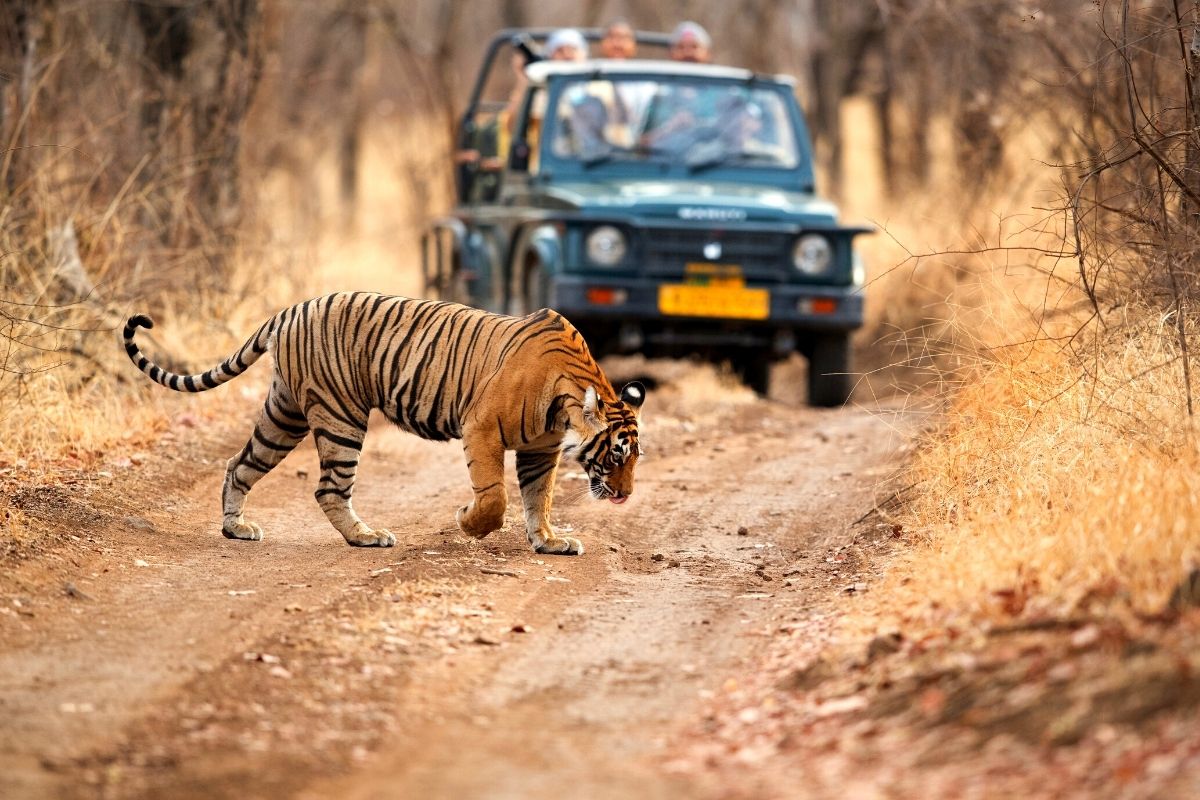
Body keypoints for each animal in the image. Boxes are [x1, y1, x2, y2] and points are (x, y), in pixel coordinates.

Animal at [120, 291, 643, 554]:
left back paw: (236, 528)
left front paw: (550, 540)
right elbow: (495, 497)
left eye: (635, 457)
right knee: (329, 488)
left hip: (284, 414)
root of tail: (290, 310)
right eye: (616, 453)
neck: (566, 400)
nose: (625, 495)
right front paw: (468, 522)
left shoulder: (540, 449)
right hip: (340, 416)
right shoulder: (482, 428)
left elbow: (540, 497)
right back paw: (366, 537)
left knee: (239, 464)